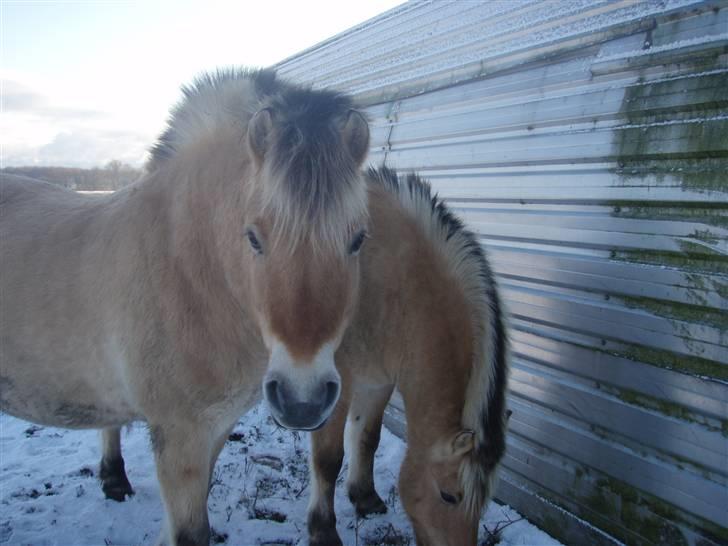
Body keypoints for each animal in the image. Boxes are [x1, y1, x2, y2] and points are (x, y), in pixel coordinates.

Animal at [0, 68, 370, 544]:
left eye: (357, 239)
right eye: (253, 237)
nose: (301, 401)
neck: (185, 269)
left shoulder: (214, 429)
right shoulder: (180, 438)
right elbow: (190, 532)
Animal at [304, 166, 510, 544]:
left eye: (483, 504)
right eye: (448, 496)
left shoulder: (378, 381)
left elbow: (367, 438)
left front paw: (365, 497)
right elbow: (328, 458)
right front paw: (322, 530)